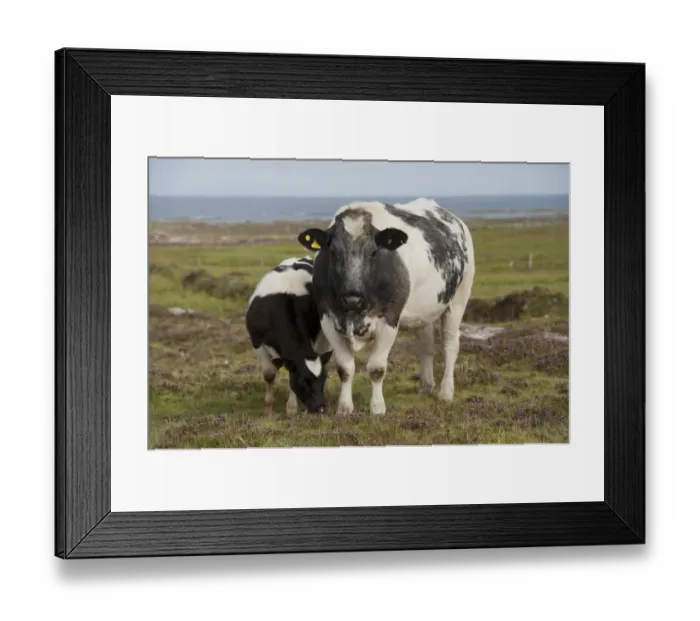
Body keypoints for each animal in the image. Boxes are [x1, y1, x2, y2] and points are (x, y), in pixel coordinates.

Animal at [245, 256, 334, 416]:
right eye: (303, 381)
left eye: (324, 379)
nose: (321, 408)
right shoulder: (257, 343)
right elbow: (269, 374)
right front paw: (268, 408)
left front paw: (292, 408)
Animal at [297, 198, 475, 416]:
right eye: (333, 251)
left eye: (374, 252)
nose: (352, 298)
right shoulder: (328, 318)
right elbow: (345, 367)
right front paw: (344, 407)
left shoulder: (389, 318)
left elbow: (376, 367)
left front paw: (377, 407)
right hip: (423, 311)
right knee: (426, 345)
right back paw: (426, 385)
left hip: (459, 299)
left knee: (450, 344)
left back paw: (446, 392)